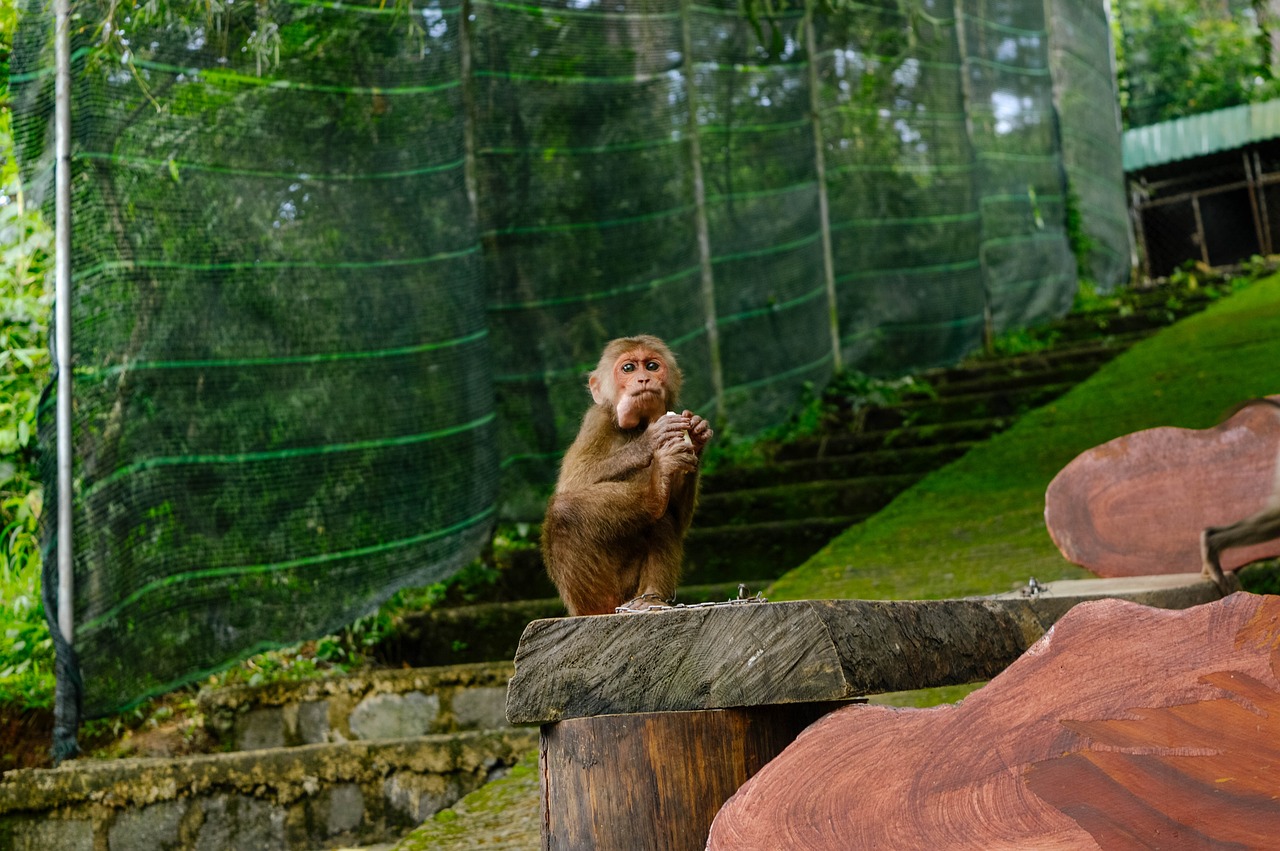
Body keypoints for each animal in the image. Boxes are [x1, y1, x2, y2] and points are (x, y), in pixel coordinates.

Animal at [540, 335, 716, 614]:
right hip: (600, 594)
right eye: (629, 368)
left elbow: (679, 518)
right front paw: (652, 439)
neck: (636, 426)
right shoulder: (596, 419)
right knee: (564, 511)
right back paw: (655, 492)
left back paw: (650, 597)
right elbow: (573, 482)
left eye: (652, 366)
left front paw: (697, 435)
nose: (644, 379)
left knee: (664, 519)